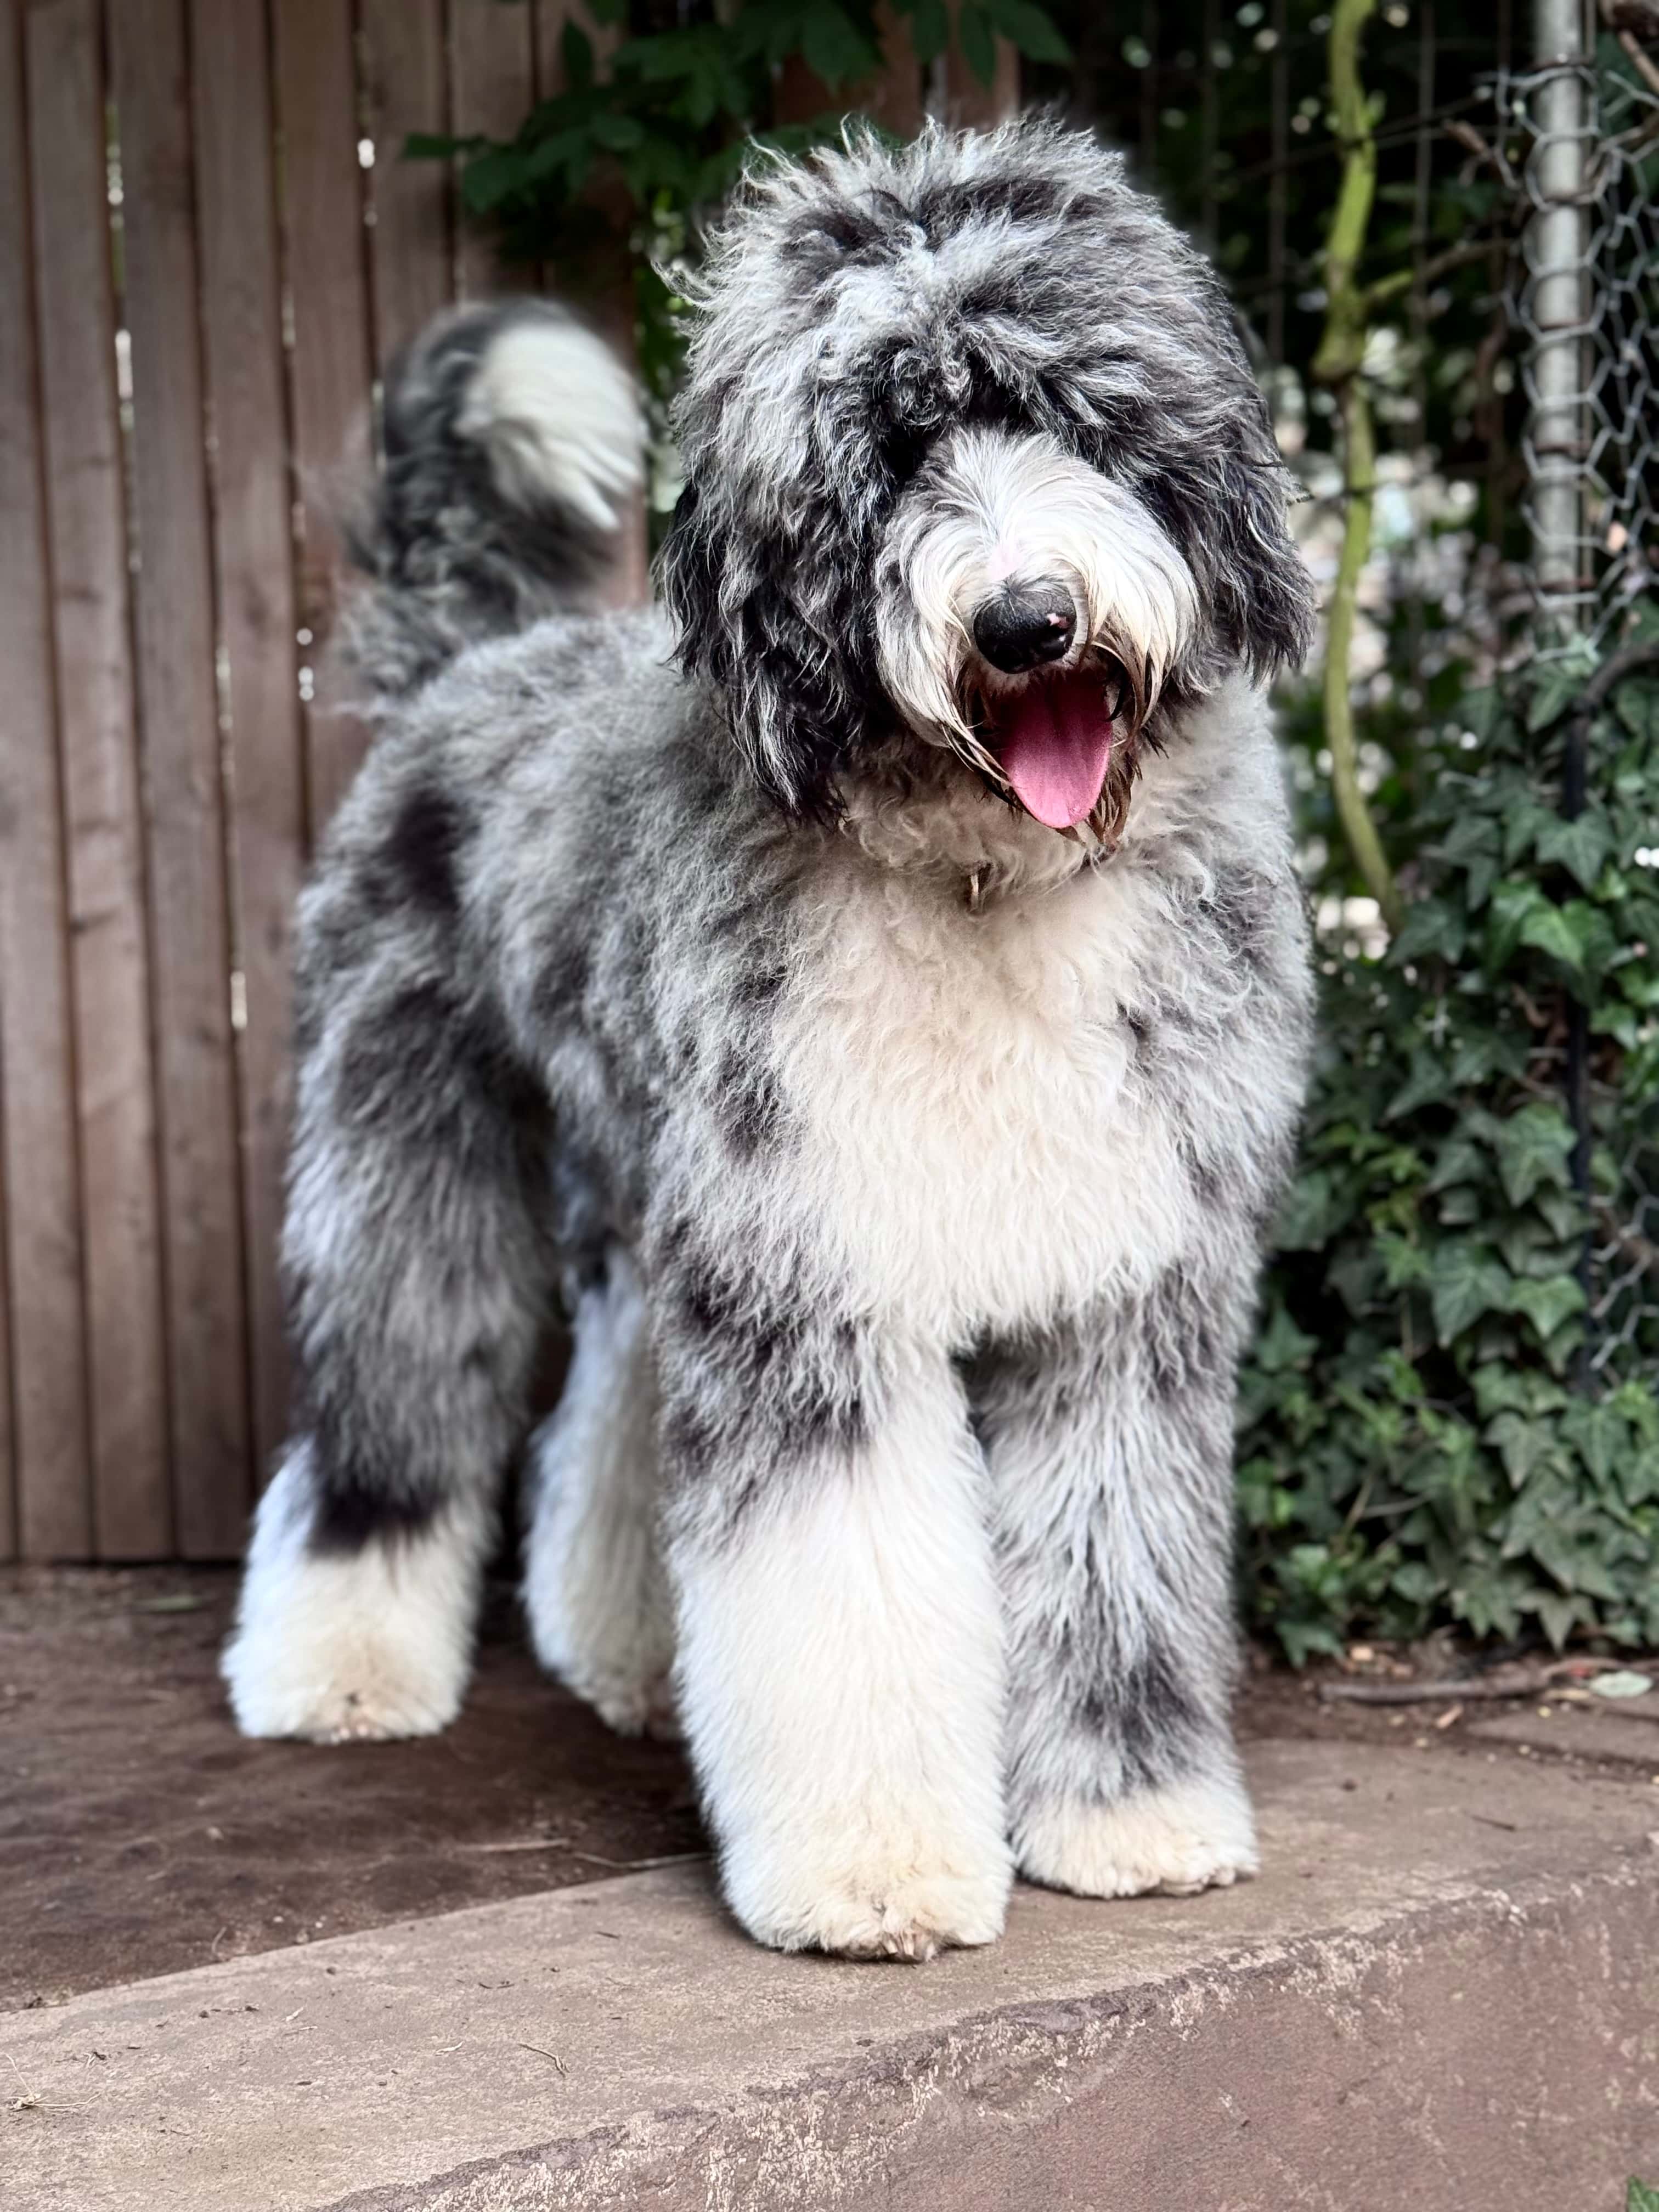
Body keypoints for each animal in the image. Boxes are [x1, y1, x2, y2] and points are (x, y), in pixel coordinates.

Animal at [228, 112, 1318, 1964]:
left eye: (1078, 412)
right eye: (893, 451)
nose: (1027, 621)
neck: (984, 885)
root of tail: (472, 661)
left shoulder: (1121, 1296)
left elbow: (1115, 1555)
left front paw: (1130, 1816)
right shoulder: (819, 1281)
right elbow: (844, 1588)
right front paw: (871, 1869)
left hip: (650, 1190)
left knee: (604, 1400)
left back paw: (623, 1655)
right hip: (411, 1149)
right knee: (397, 1397)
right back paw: (337, 1665)